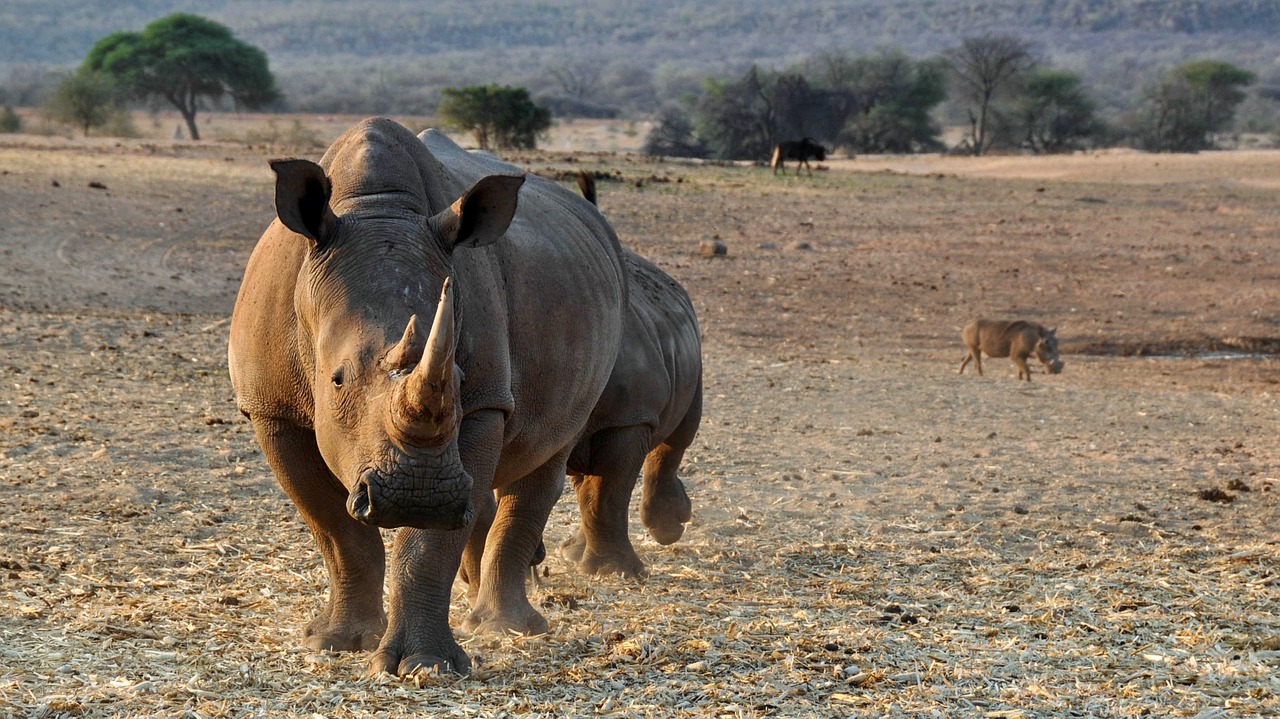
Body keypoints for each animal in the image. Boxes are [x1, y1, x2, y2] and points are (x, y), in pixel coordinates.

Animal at [232, 117, 632, 670]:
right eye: (337, 380)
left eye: (459, 381)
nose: (418, 494)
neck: (376, 208)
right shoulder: (270, 408)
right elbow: (336, 529)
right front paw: (337, 641)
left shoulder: (485, 401)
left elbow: (426, 546)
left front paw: (425, 665)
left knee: (546, 455)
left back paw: (508, 627)